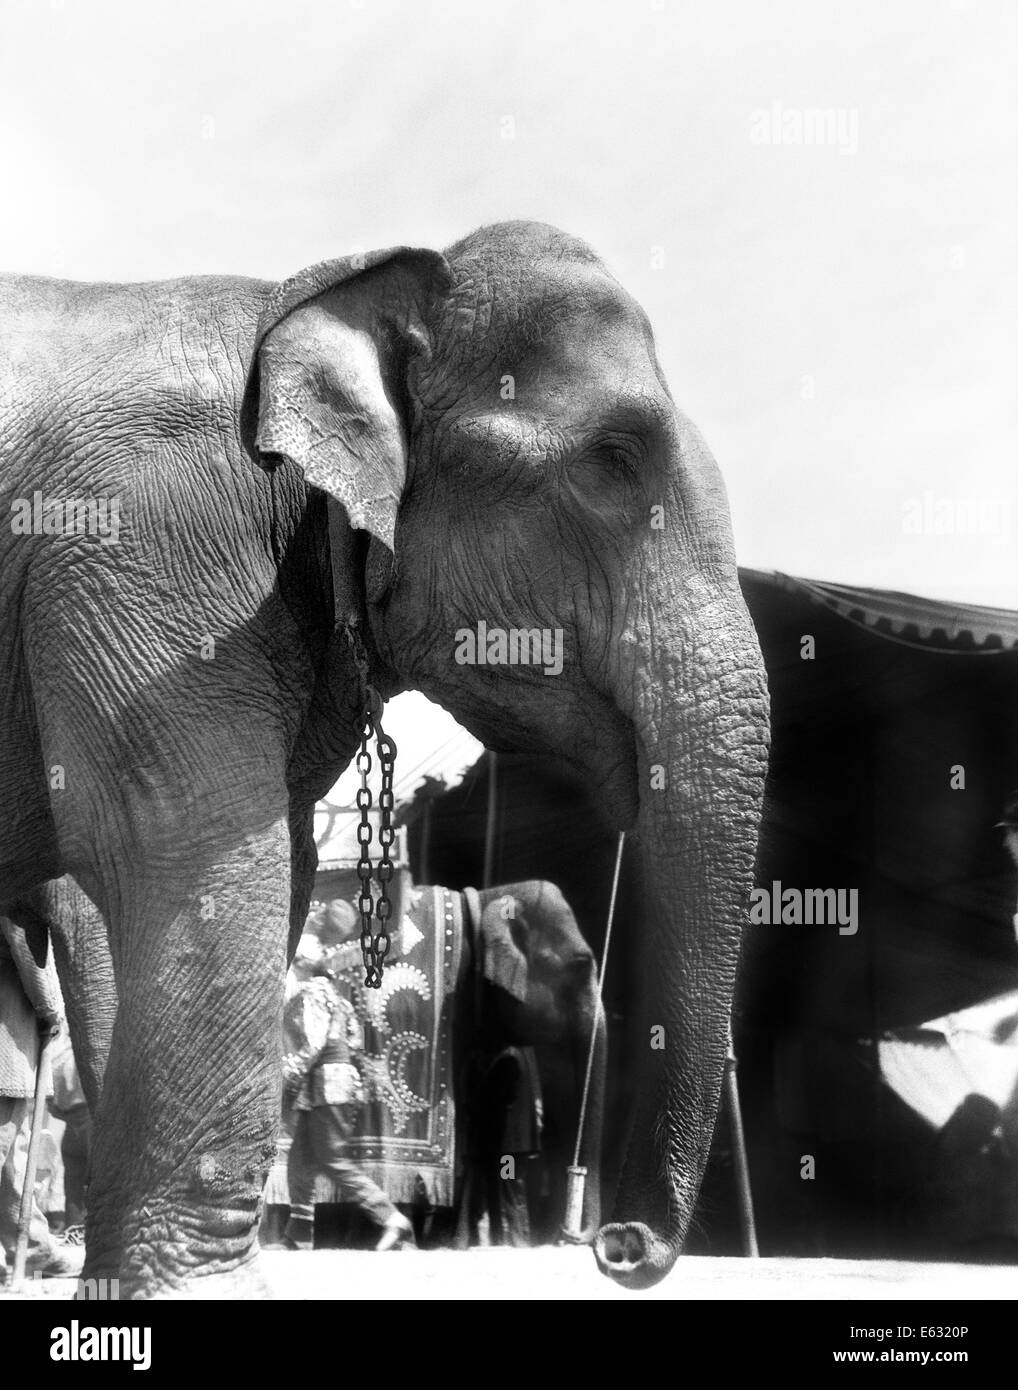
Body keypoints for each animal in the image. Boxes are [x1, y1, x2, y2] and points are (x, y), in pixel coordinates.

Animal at [0, 222, 767, 1295]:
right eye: (614, 460)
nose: (617, 1244)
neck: (322, 293)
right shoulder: (142, 555)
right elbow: (194, 863)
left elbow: (273, 871)